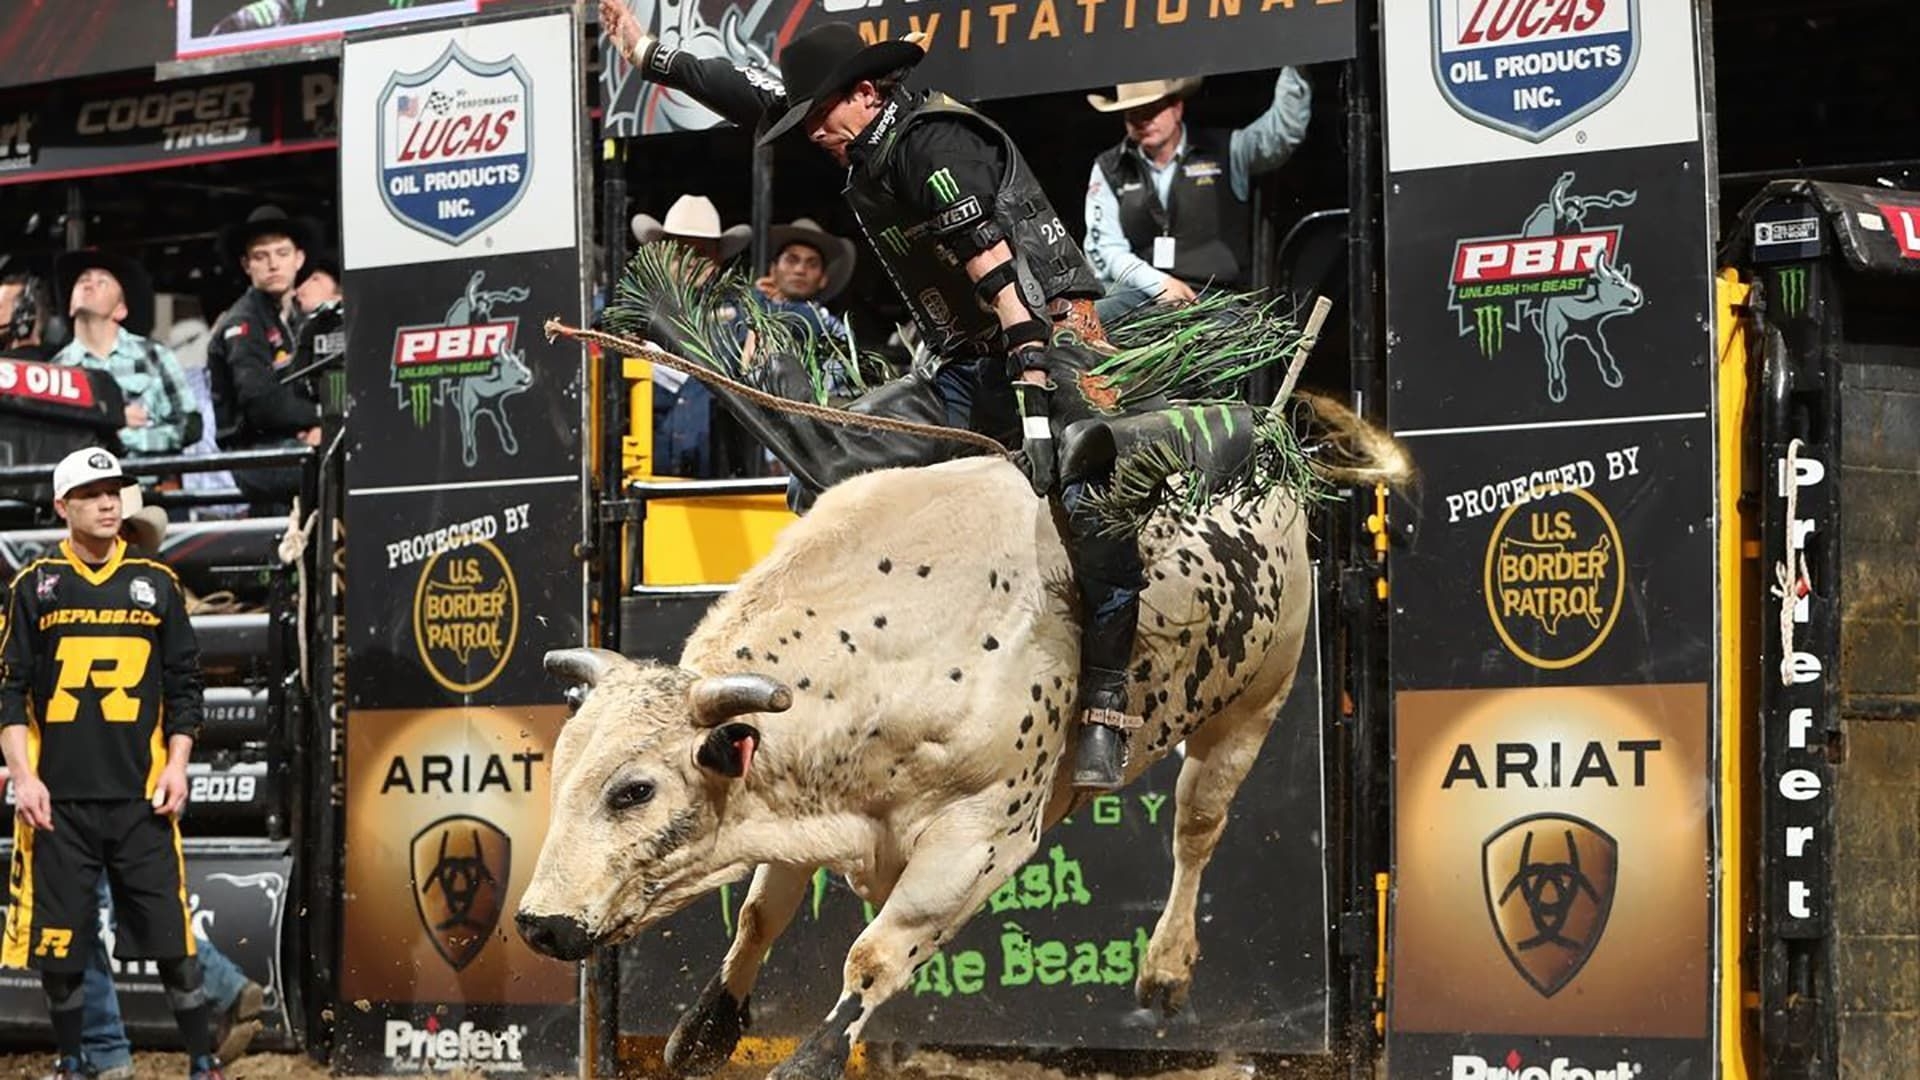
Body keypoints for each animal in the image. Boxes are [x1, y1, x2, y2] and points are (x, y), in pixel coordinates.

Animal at [514, 390, 1413, 1068]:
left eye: (634, 790)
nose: (538, 924)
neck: (892, 643)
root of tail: (1271, 446)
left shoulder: (976, 839)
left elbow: (875, 957)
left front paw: (814, 1056)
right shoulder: (802, 804)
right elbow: (759, 916)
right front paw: (706, 1030)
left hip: (1256, 699)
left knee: (1196, 827)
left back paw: (1163, 970)